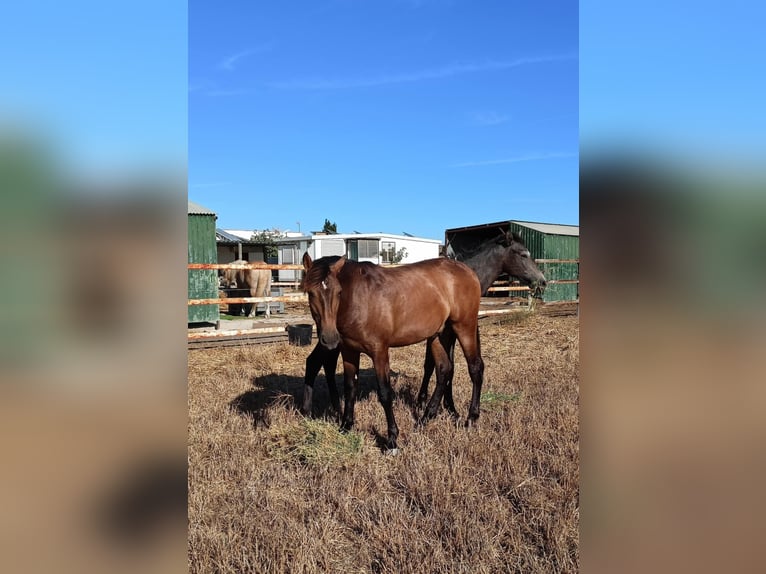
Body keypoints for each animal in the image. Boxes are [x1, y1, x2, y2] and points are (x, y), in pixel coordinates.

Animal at [302, 254, 486, 452]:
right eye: (310, 293)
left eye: (338, 292)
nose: (329, 338)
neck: (358, 298)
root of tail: (467, 270)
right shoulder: (349, 351)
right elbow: (350, 387)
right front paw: (346, 426)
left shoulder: (379, 351)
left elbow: (385, 393)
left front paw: (391, 440)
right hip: (440, 335)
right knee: (444, 370)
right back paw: (425, 419)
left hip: (464, 327)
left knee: (475, 368)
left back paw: (471, 419)